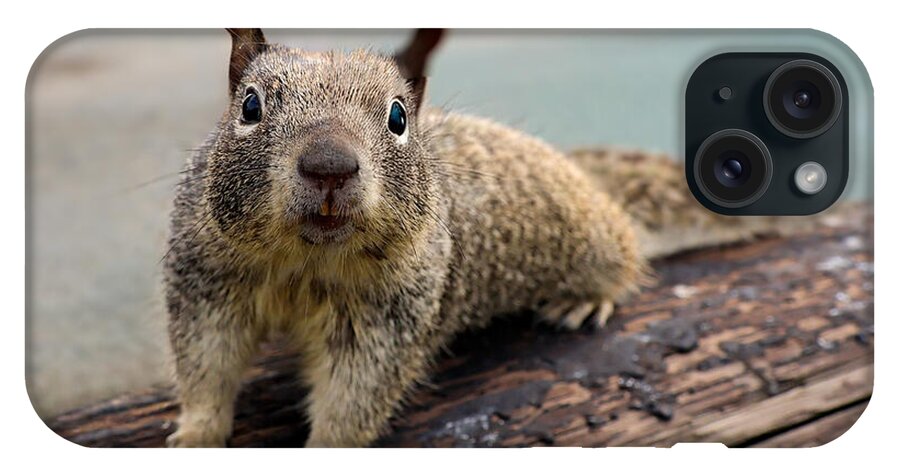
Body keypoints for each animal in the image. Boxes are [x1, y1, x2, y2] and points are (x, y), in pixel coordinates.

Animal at [164, 29, 799, 447]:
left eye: (398, 117)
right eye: (250, 105)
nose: (329, 165)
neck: (307, 261)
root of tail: (588, 179)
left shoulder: (389, 317)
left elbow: (355, 397)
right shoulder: (207, 282)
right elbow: (206, 366)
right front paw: (195, 436)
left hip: (594, 239)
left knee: (624, 257)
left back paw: (585, 298)